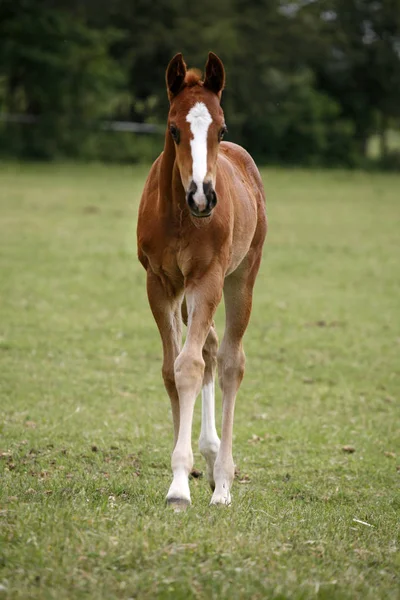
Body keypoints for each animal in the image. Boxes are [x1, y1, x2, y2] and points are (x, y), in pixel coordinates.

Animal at [138, 54, 268, 508]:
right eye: (173, 128)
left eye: (221, 128)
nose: (202, 196)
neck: (180, 216)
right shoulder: (160, 283)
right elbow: (170, 369)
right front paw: (185, 473)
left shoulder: (207, 278)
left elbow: (190, 365)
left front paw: (180, 486)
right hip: (186, 295)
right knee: (210, 347)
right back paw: (210, 461)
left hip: (241, 276)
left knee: (229, 361)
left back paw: (223, 480)